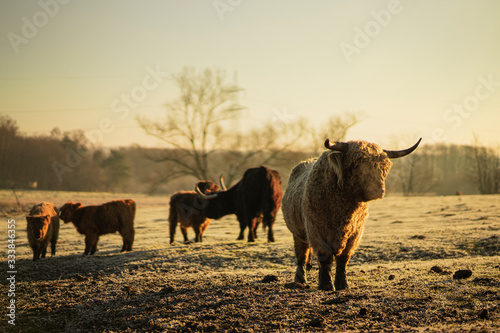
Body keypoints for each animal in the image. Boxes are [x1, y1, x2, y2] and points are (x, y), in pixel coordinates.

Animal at [284, 137, 420, 288]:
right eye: (356, 165)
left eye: (384, 168)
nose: (379, 190)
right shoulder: (315, 228)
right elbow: (324, 256)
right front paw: (326, 285)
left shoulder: (356, 232)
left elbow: (344, 257)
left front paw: (342, 284)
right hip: (297, 233)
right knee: (301, 255)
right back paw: (300, 280)